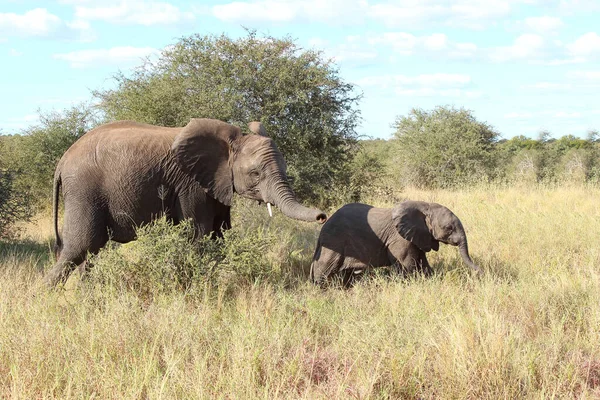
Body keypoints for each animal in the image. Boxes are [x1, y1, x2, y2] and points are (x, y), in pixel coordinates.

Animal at [44, 117, 326, 286]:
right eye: (256, 174)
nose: (323, 216)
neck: (230, 144)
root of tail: (62, 160)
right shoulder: (191, 184)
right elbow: (199, 234)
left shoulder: (216, 184)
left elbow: (219, 235)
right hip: (84, 190)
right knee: (79, 247)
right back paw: (46, 297)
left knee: (89, 252)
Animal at [312, 202, 480, 286]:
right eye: (449, 228)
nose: (480, 272)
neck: (425, 206)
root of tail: (323, 228)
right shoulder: (400, 239)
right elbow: (408, 265)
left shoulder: (418, 236)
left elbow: (423, 264)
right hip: (334, 242)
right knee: (324, 268)